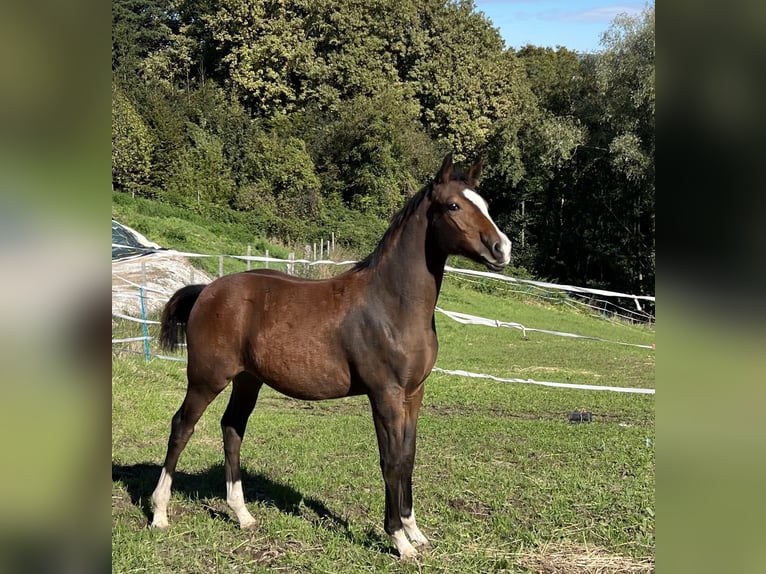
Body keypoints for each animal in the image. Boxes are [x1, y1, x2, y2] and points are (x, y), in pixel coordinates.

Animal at [150, 155, 512, 560]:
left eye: (485, 205)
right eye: (453, 206)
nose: (502, 248)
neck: (391, 305)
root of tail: (207, 289)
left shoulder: (413, 394)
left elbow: (408, 457)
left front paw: (414, 531)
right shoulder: (384, 394)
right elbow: (390, 461)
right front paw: (399, 540)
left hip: (248, 380)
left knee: (232, 428)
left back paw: (242, 515)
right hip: (207, 378)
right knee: (182, 427)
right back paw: (159, 514)